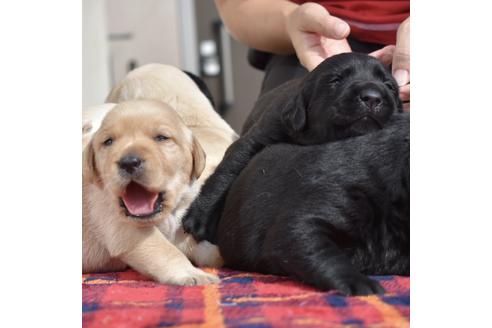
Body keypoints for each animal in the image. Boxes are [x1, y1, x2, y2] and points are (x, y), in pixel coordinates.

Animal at [84, 100, 221, 284]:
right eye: (109, 141)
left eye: (161, 138)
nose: (129, 162)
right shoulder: (126, 230)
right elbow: (165, 251)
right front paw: (192, 274)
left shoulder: (177, 229)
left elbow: (194, 244)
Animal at [183, 52, 402, 242]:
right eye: (336, 80)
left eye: (389, 86)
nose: (372, 97)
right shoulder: (260, 135)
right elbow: (227, 171)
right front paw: (199, 217)